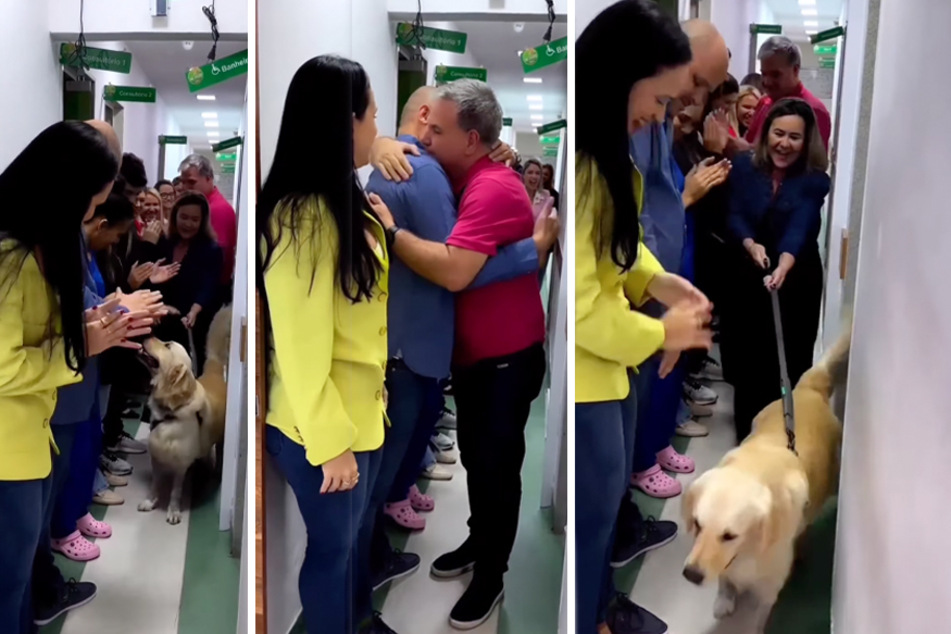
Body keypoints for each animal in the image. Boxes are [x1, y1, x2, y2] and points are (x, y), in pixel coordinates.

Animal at [137, 304, 231, 520]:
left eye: (168, 345)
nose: (149, 332)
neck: (170, 413)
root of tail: (214, 370)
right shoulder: (156, 456)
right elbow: (155, 483)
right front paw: (150, 500)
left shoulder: (181, 464)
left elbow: (176, 490)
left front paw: (173, 511)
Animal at [680, 324, 852, 628]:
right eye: (698, 525)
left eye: (729, 535)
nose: (692, 575)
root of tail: (807, 389)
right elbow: (726, 581)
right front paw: (724, 599)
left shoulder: (768, 591)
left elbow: (756, 621)